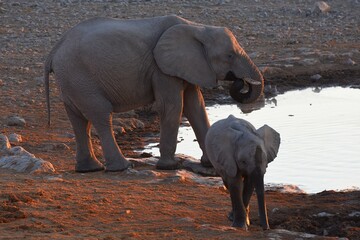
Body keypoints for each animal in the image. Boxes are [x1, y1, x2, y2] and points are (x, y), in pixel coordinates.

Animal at [45, 15, 264, 172]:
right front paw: (170, 166)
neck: (198, 28)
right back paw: (122, 167)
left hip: (72, 80)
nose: (240, 82)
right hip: (80, 77)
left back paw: (89, 169)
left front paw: (209, 164)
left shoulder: (188, 66)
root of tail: (55, 49)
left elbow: (196, 106)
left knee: (79, 120)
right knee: (100, 115)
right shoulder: (161, 68)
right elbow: (173, 105)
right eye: (229, 56)